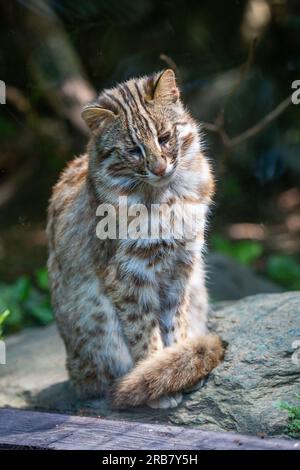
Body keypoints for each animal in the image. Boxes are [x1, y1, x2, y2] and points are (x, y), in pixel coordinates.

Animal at [47, 69, 223, 408]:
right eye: (133, 150)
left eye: (165, 137)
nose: (159, 168)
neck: (166, 196)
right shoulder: (127, 275)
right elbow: (143, 330)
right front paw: (157, 378)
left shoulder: (181, 266)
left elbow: (175, 322)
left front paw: (175, 363)